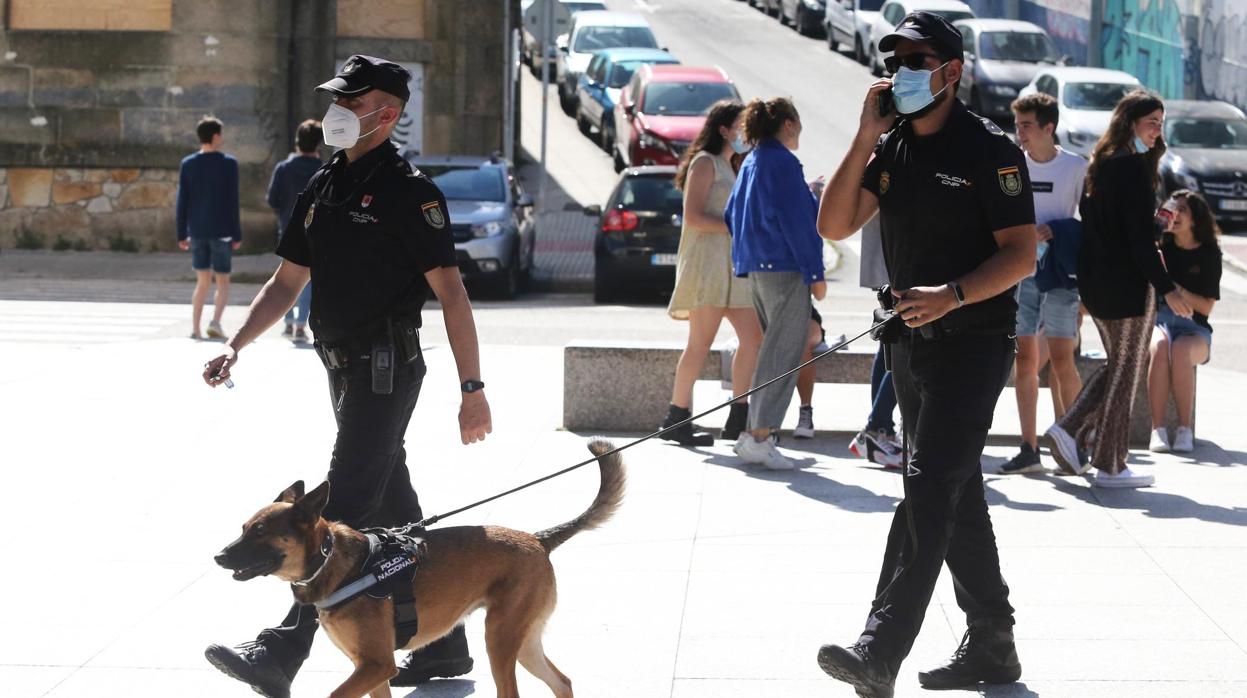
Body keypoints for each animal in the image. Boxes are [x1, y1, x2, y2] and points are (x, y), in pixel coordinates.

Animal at [216, 441, 623, 698]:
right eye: (243, 528)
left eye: (260, 532)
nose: (218, 557)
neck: (331, 561)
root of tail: (538, 539)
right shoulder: (373, 669)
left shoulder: (376, 666)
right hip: (523, 643)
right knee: (563, 683)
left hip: (500, 641)